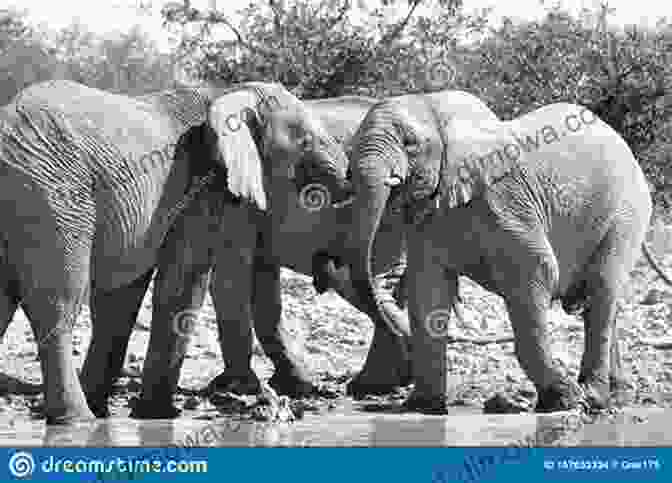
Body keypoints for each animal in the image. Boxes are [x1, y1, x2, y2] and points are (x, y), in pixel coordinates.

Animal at [0, 79, 352, 424]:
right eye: (307, 147)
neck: (228, 93)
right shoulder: (200, 187)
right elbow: (186, 280)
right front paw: (158, 414)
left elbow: (123, 297)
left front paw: (116, 409)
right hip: (55, 200)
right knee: (58, 304)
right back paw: (76, 420)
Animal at [330, 98, 672, 416]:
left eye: (410, 143)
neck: (438, 108)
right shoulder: (427, 221)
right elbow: (427, 287)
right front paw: (421, 408)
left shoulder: (508, 202)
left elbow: (537, 272)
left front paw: (563, 400)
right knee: (602, 303)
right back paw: (617, 396)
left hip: (626, 214)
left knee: (602, 290)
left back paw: (594, 399)